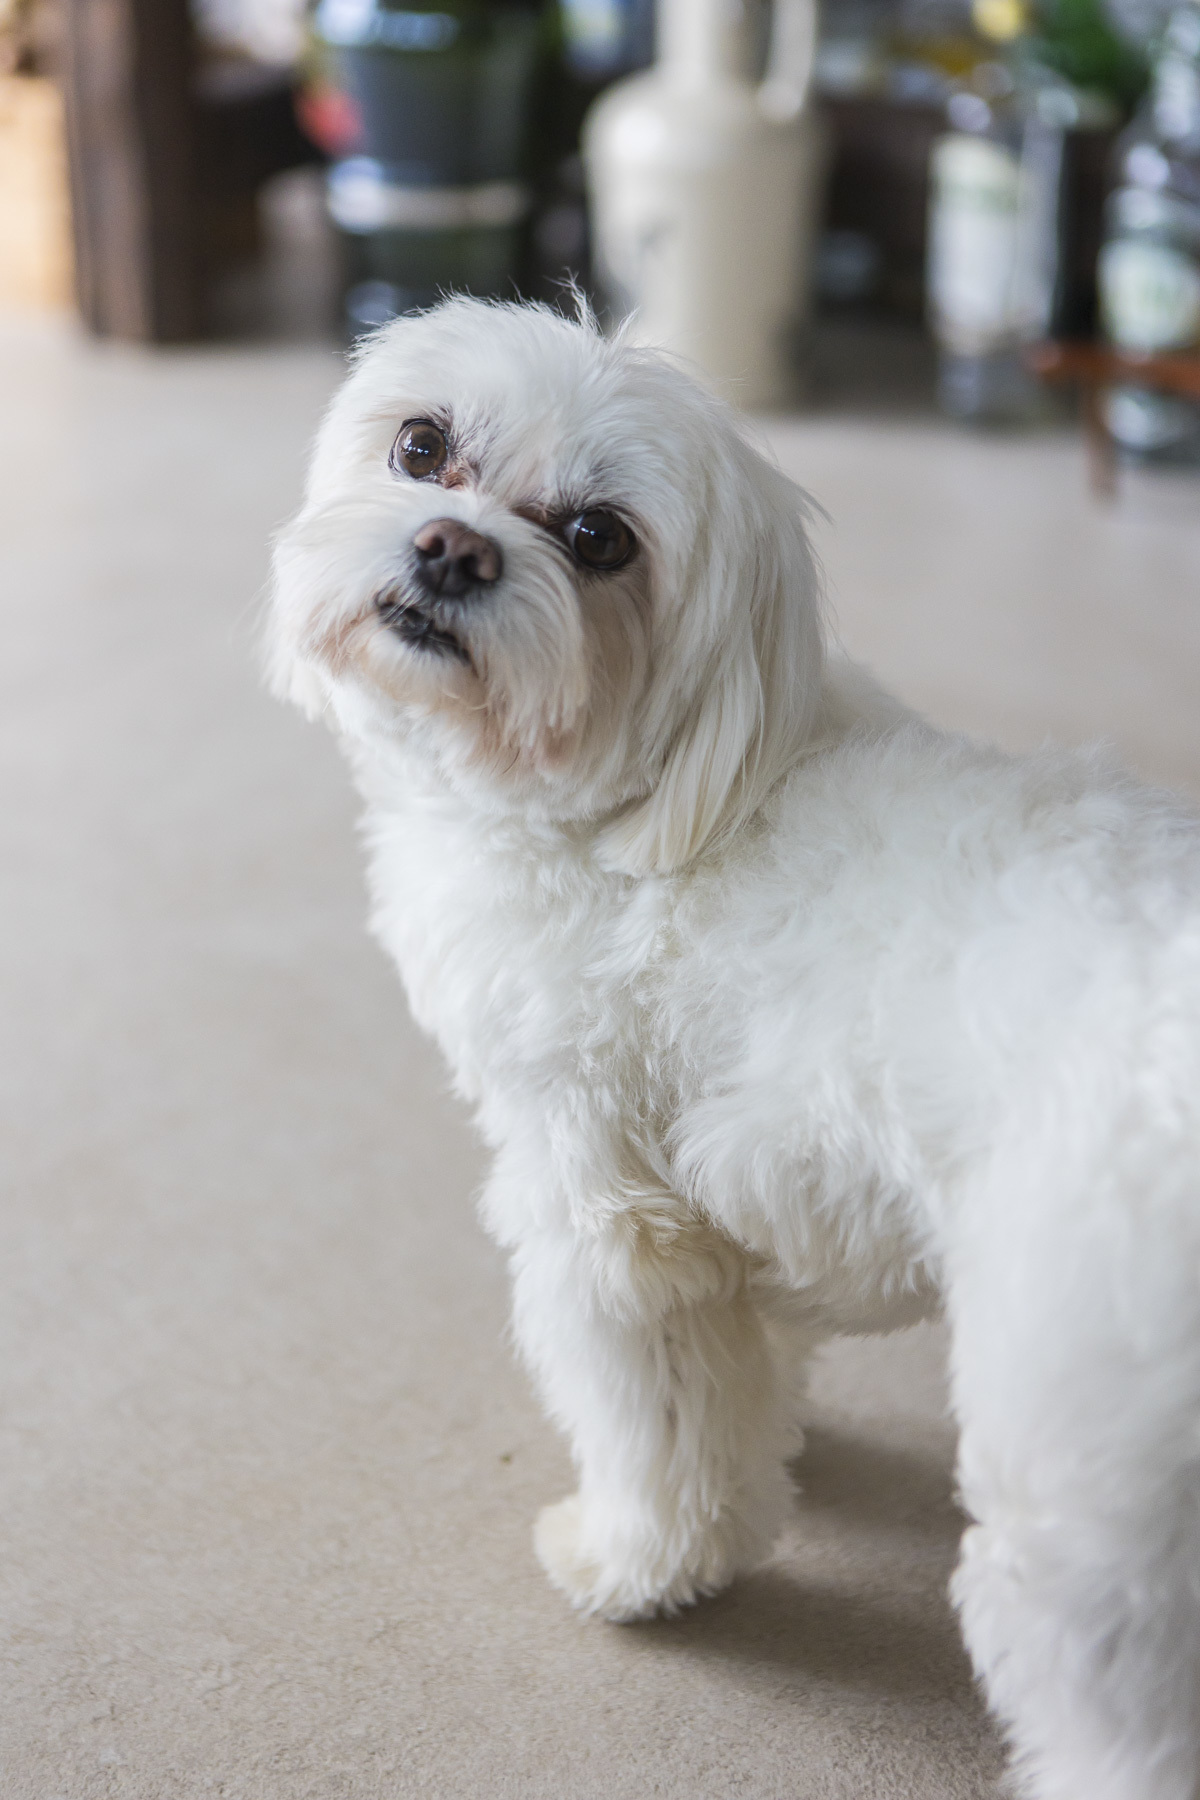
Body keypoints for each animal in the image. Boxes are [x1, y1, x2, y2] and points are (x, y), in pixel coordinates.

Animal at [269, 296, 1200, 1800]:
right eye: (420, 444)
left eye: (601, 538)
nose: (451, 548)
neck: (638, 807)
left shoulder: (609, 1215)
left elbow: (658, 1423)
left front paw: (641, 1566)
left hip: (1092, 1523)